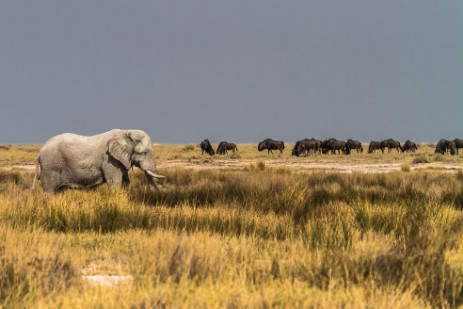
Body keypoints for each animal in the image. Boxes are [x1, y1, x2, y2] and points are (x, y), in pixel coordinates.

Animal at [35, 128, 165, 192]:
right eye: (144, 153)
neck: (126, 132)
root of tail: (40, 152)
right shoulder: (109, 160)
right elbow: (115, 182)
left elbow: (125, 182)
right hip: (51, 166)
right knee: (50, 191)